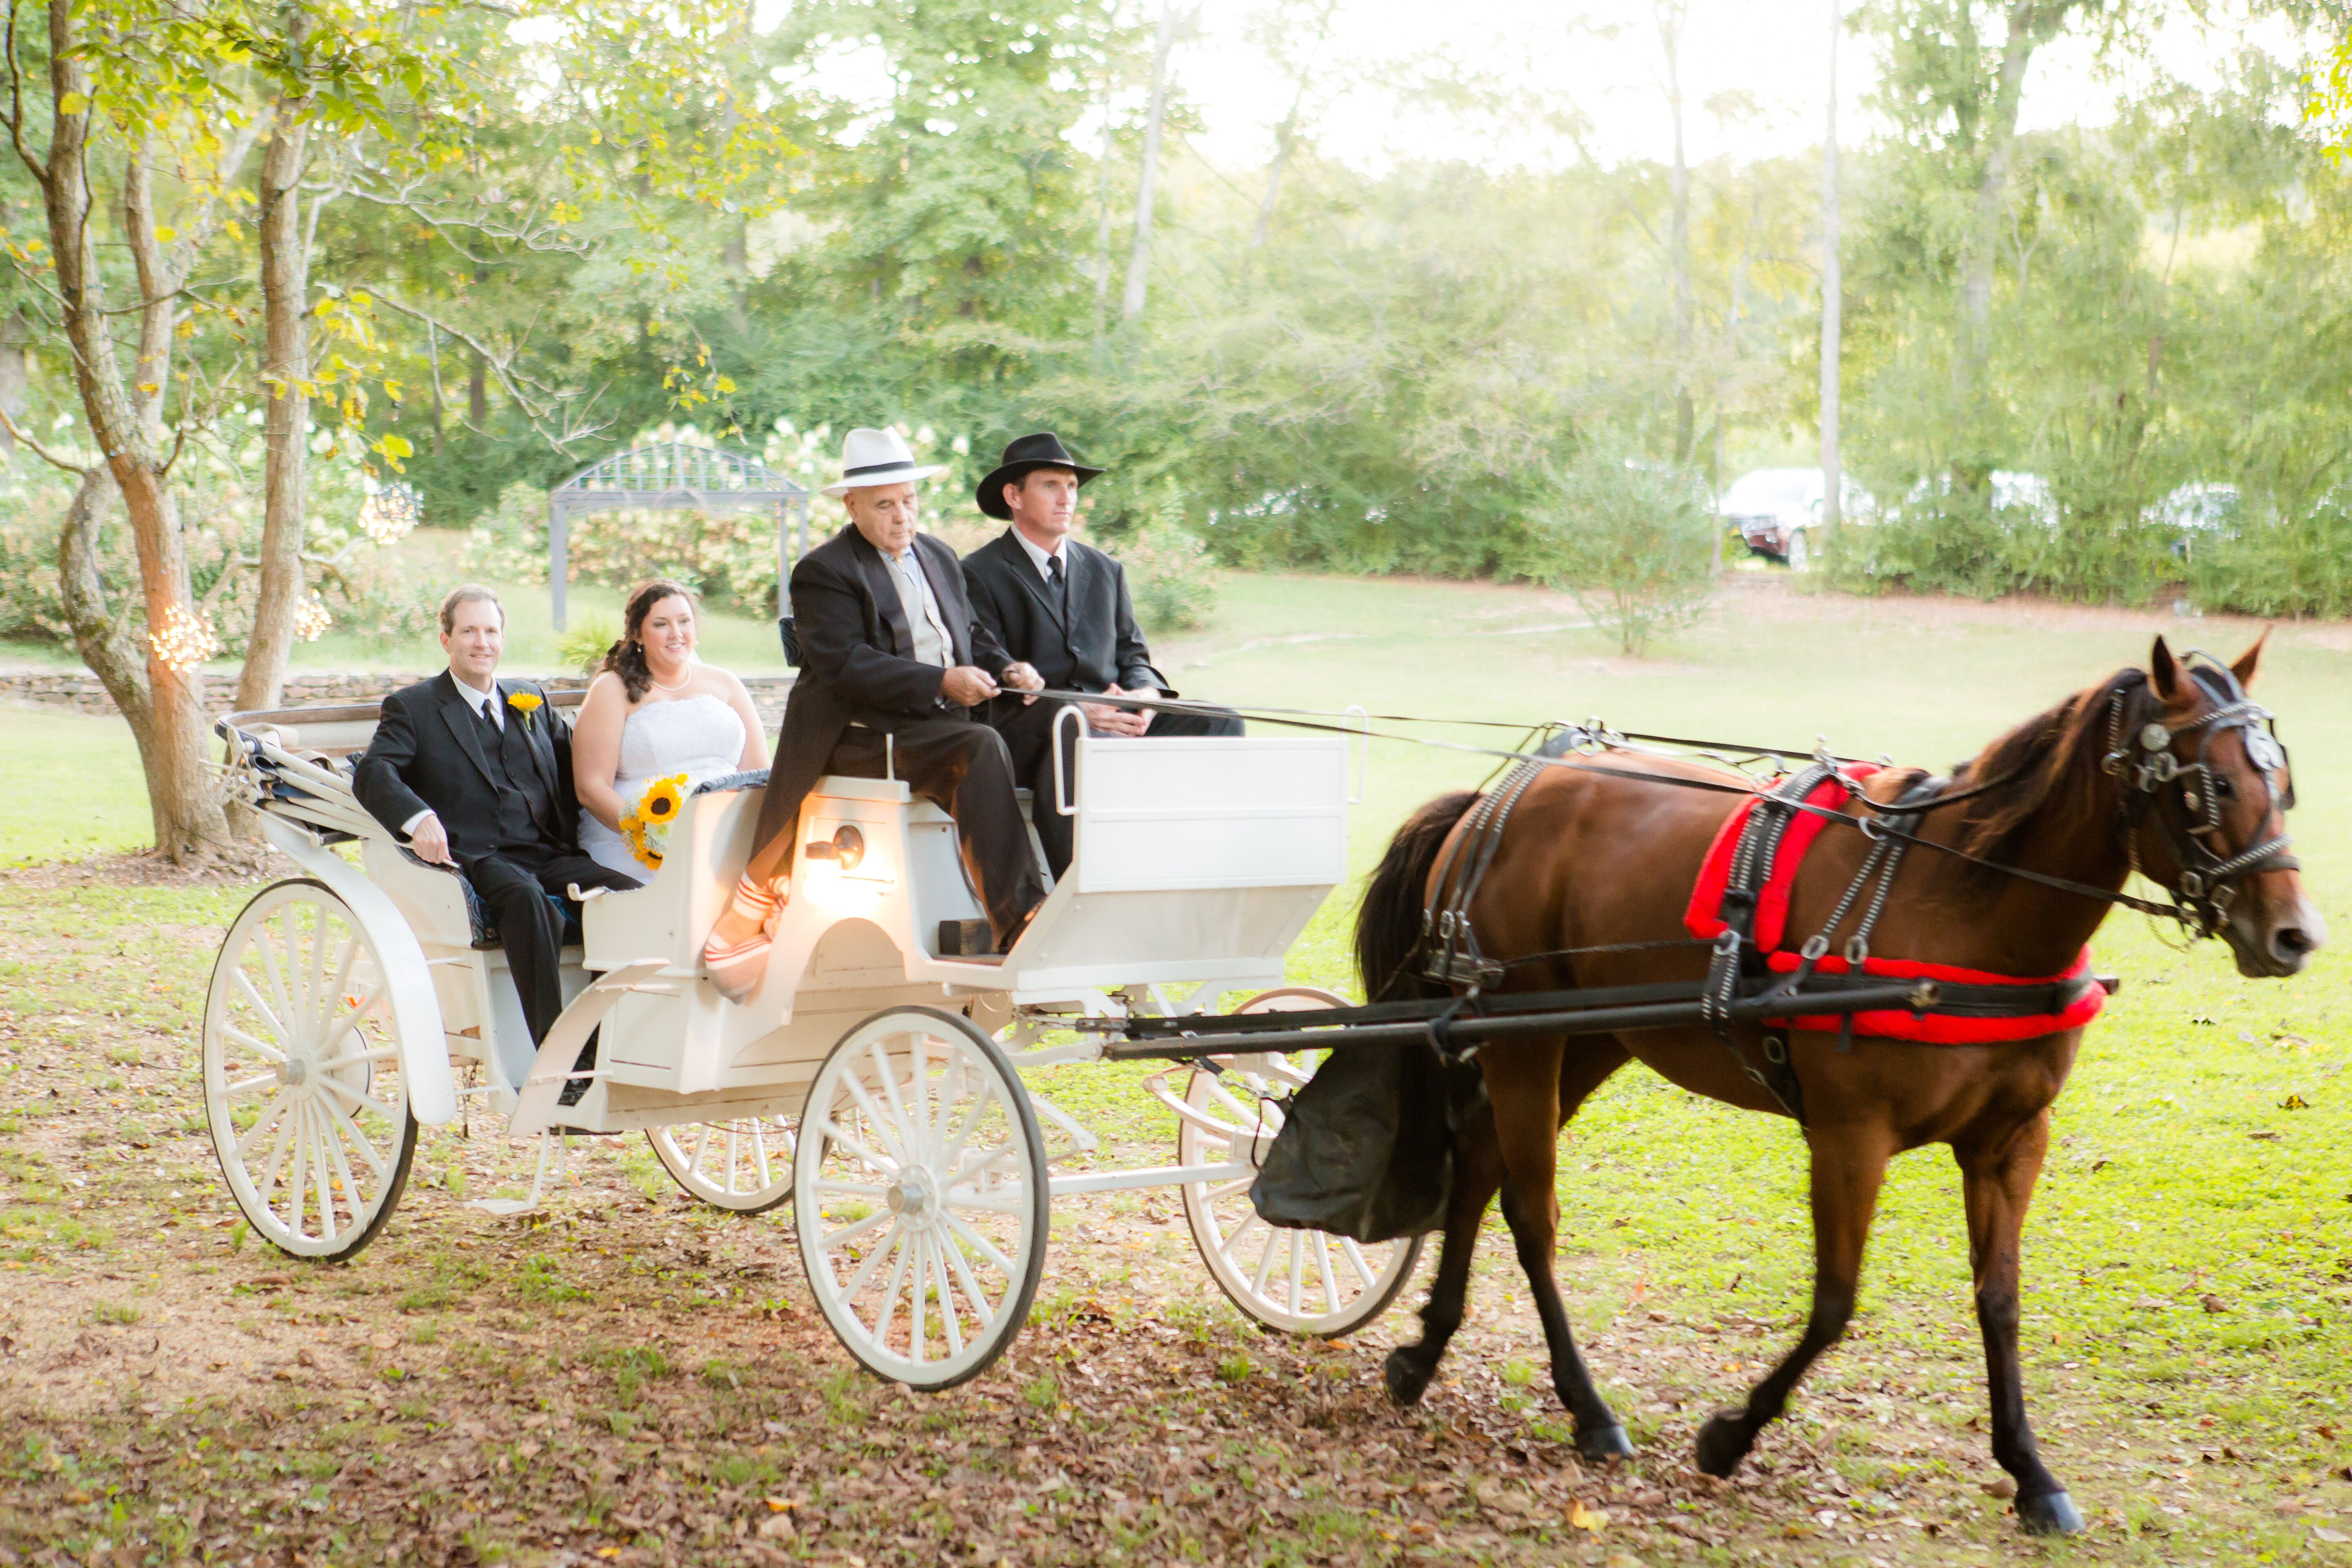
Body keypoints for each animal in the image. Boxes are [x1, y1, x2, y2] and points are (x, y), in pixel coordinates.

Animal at [1354, 639, 2323, 1532]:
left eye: (2281, 782)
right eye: (2210, 786)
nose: (2296, 935)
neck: (1965, 904)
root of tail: (1501, 799)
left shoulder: (2011, 1141)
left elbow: (2000, 1301)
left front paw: (2030, 1470)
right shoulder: (1849, 1135)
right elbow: (1835, 1302)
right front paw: (1734, 1434)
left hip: (1583, 1038)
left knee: (1479, 1166)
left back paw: (1427, 1351)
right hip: (1527, 1037)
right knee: (1530, 1211)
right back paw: (1586, 1408)